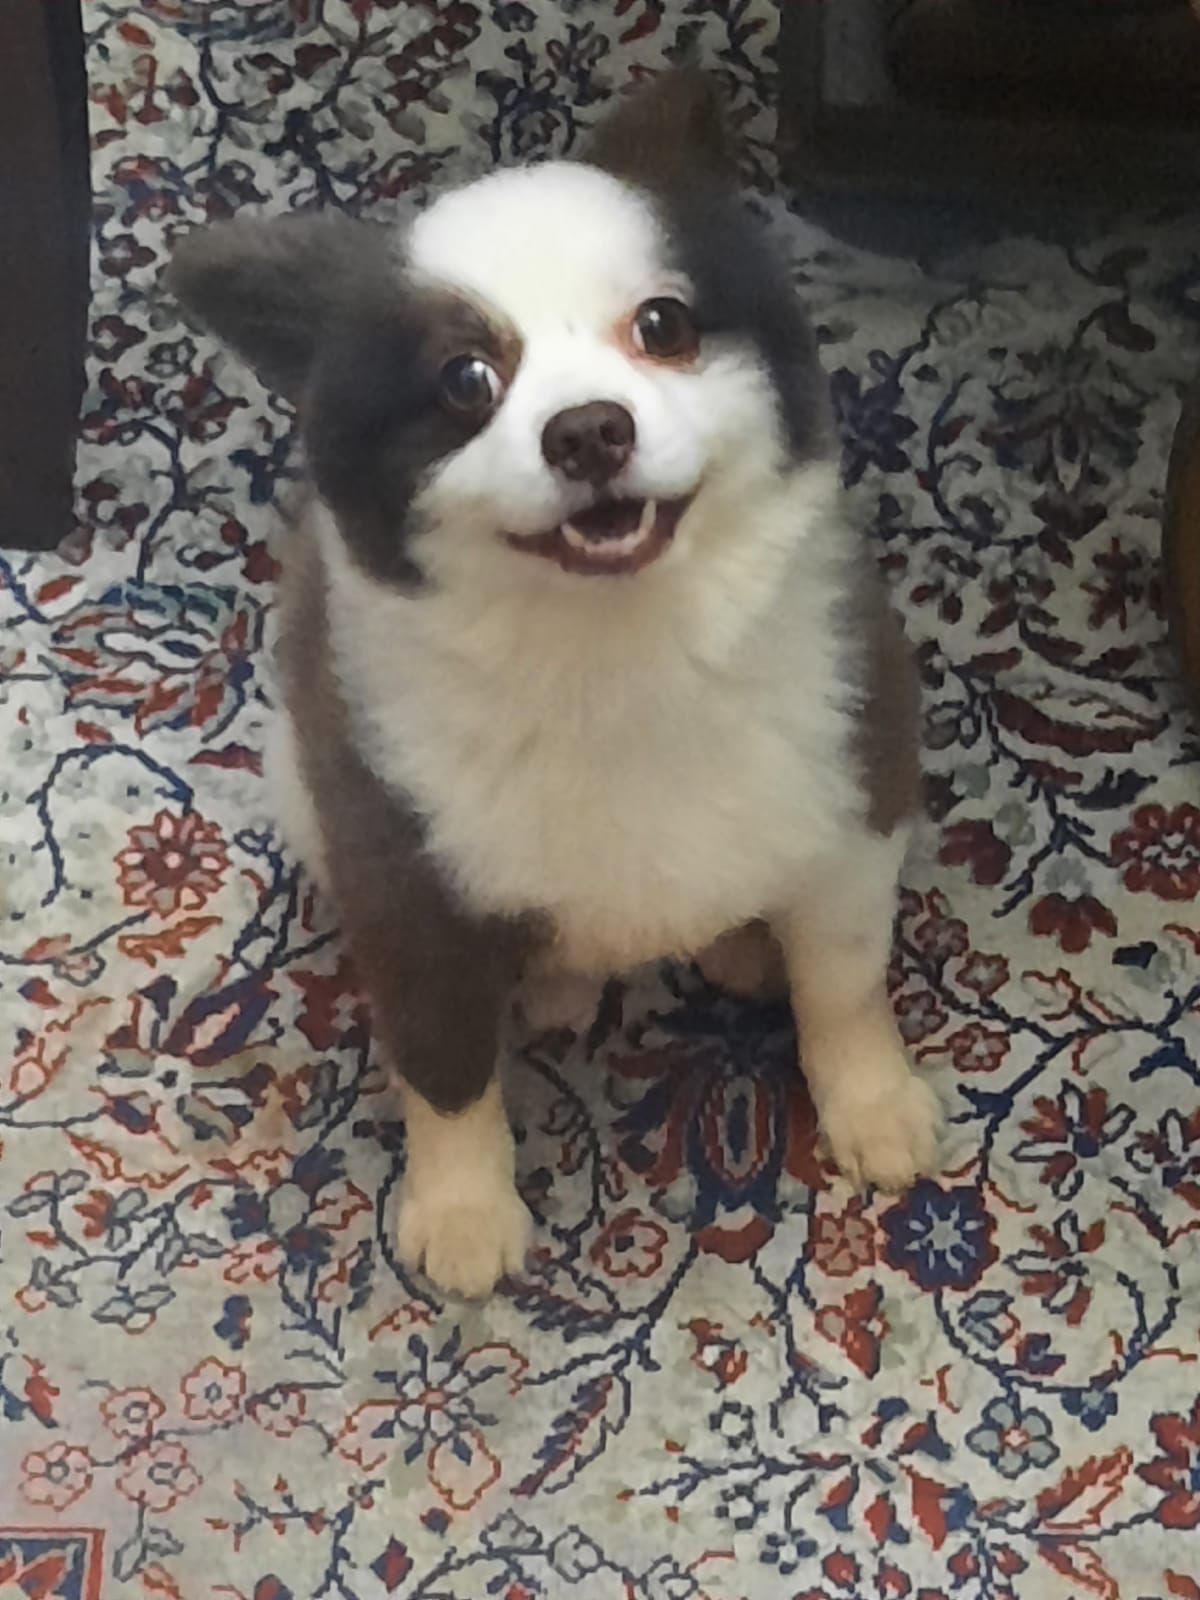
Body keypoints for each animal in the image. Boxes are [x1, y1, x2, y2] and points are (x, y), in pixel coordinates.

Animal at [169, 72, 940, 1299]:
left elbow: (844, 981)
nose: (588, 430)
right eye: (465, 380)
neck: (612, 654)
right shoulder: (402, 871)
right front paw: (464, 1207)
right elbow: (442, 1063)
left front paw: (872, 1103)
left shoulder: (858, 780)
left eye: (663, 326)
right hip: (297, 776)